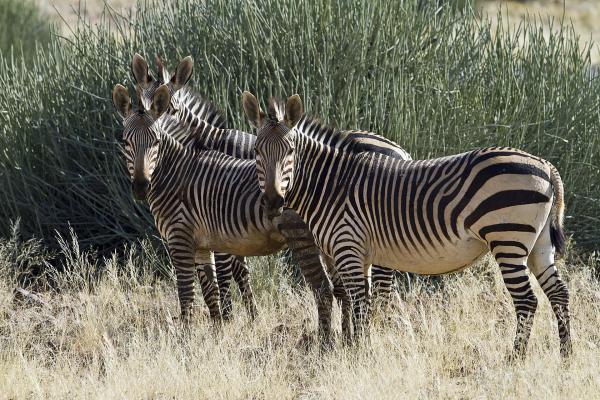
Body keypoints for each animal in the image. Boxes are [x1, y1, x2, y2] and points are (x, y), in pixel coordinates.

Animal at [244, 92, 572, 358]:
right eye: (257, 152)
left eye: (290, 151)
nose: (273, 202)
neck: (332, 184)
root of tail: (545, 165)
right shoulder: (358, 253)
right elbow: (360, 301)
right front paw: (357, 347)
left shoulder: (348, 246)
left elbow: (360, 302)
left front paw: (359, 354)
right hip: (538, 244)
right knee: (559, 293)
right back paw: (566, 356)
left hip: (508, 239)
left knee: (527, 301)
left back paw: (514, 358)